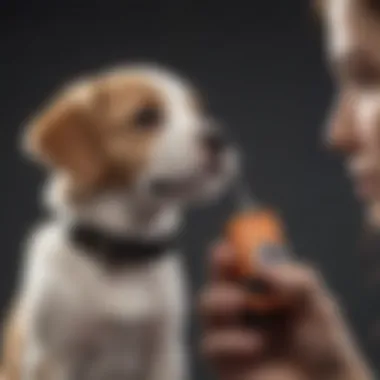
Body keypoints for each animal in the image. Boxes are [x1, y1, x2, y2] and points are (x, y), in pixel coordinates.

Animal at [0, 64, 238, 380]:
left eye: (197, 111)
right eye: (146, 117)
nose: (220, 138)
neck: (125, 246)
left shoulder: (165, 354)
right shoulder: (52, 359)